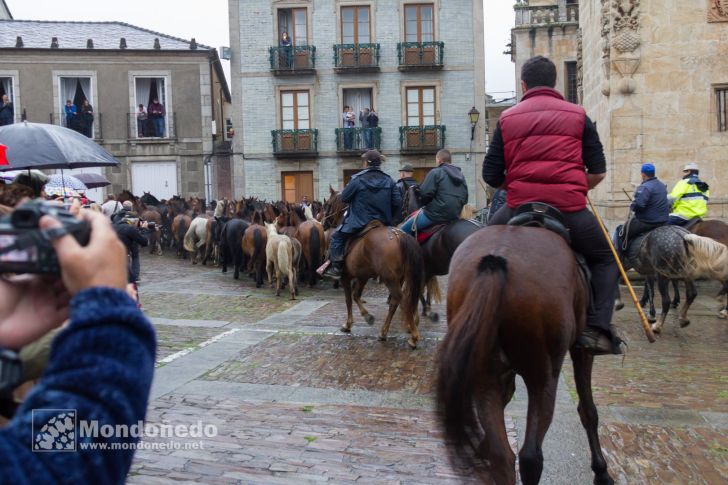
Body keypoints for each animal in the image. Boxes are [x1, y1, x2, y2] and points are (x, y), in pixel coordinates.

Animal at [438, 225, 616, 482]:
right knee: (531, 457)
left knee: (503, 455)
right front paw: (602, 473)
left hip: (485, 373)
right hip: (543, 377)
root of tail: (496, 261)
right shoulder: (581, 351)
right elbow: (588, 410)